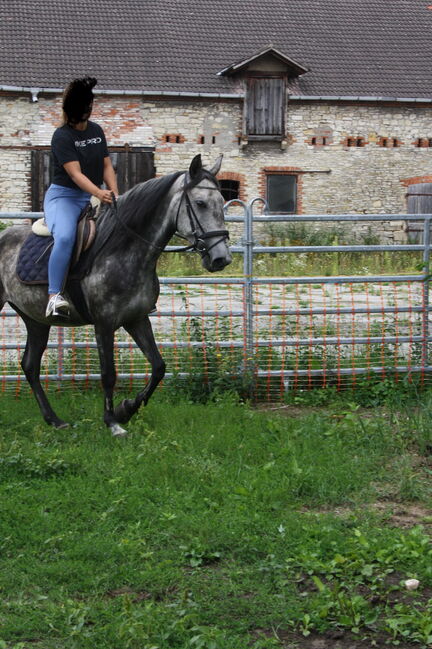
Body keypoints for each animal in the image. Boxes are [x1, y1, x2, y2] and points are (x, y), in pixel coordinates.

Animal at [0, 154, 231, 432]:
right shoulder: (104, 323)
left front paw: (126, 409)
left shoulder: (137, 319)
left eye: (221, 203)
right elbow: (109, 374)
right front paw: (112, 421)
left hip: (35, 320)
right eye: (200, 203)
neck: (124, 249)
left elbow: (159, 366)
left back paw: (54, 420)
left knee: (30, 365)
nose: (221, 259)